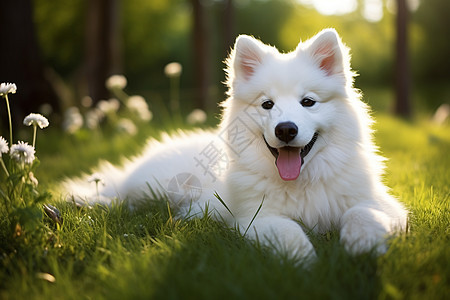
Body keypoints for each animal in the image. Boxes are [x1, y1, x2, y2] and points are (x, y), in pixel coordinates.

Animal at [66, 28, 408, 260]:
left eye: (308, 102)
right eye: (267, 105)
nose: (286, 129)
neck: (301, 184)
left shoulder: (382, 203)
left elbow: (362, 213)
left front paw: (362, 245)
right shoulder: (254, 218)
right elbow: (289, 231)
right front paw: (306, 261)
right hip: (158, 187)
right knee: (123, 195)